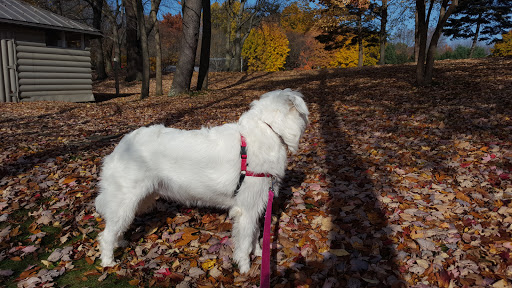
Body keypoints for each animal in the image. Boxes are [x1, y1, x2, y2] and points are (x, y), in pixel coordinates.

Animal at [94, 89, 310, 274]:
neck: (268, 130)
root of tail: (120, 146)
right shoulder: (246, 209)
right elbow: (245, 240)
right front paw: (246, 268)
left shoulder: (256, 204)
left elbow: (256, 234)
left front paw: (258, 253)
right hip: (125, 202)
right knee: (106, 235)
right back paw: (108, 262)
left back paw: (119, 244)